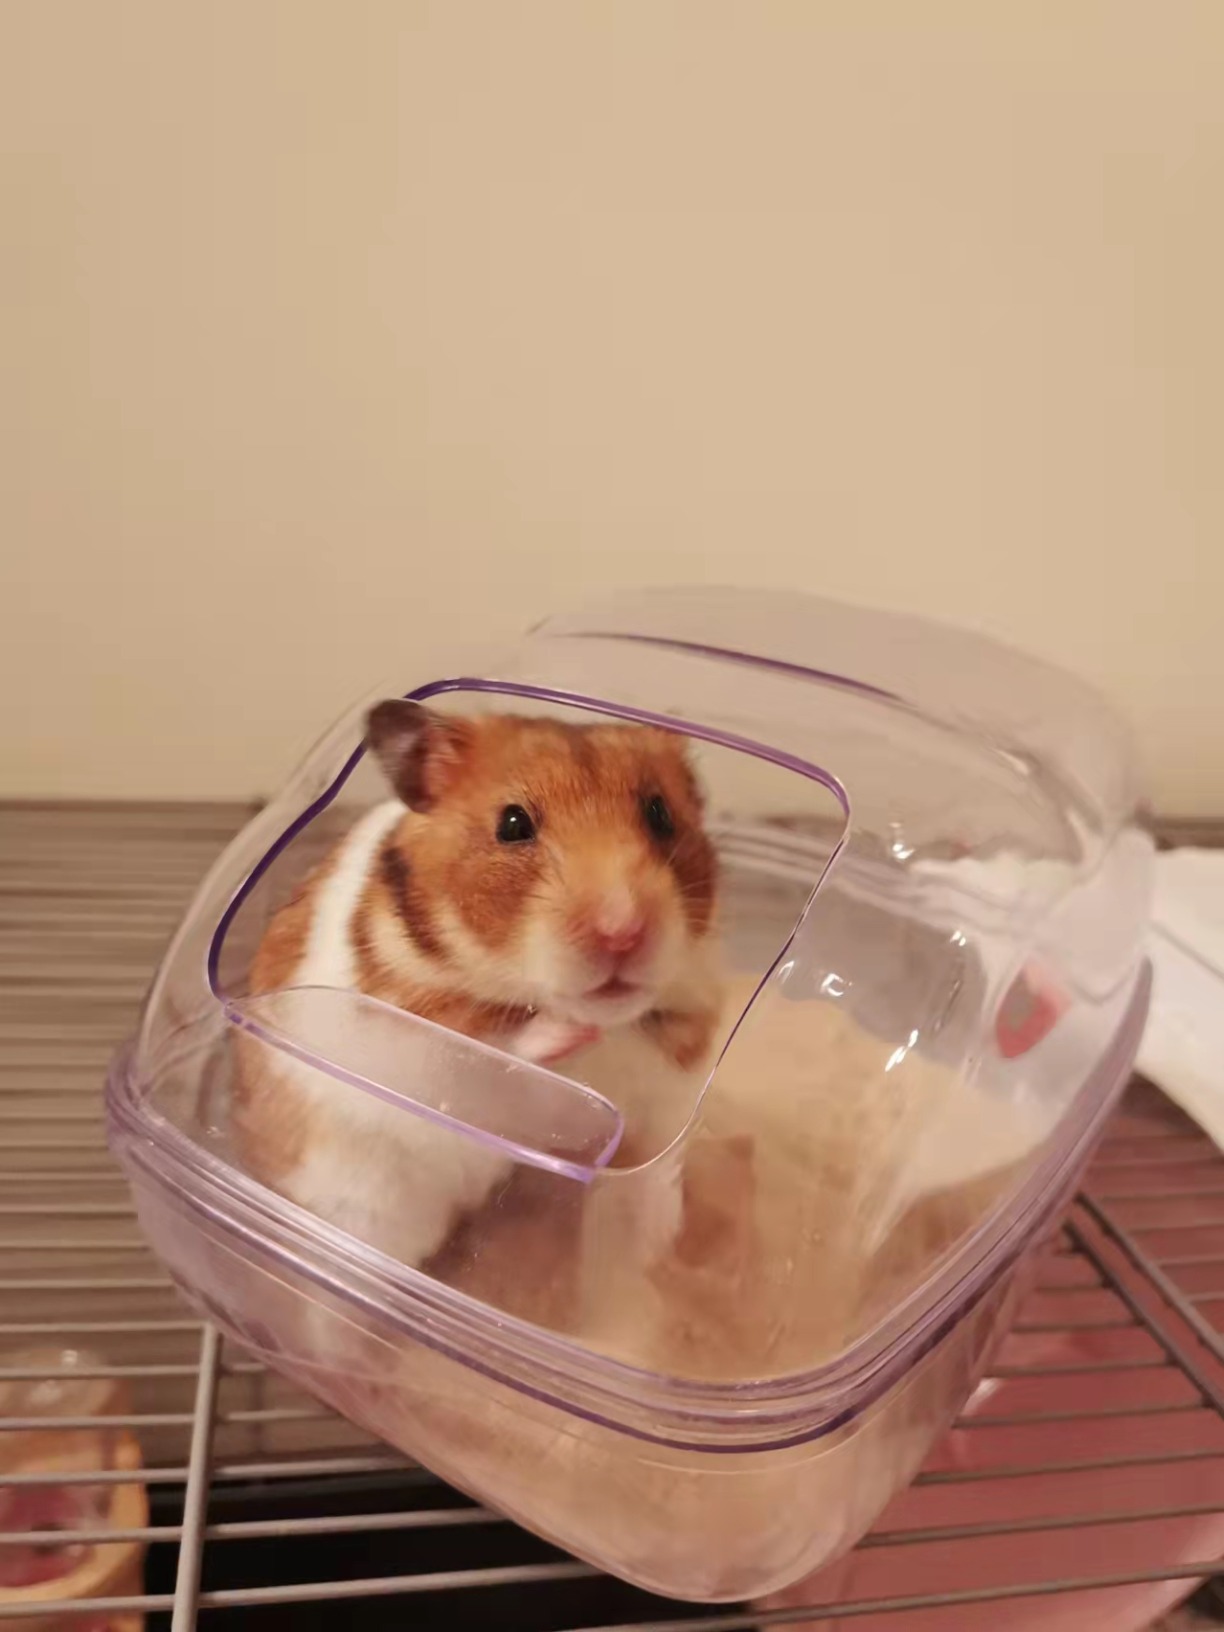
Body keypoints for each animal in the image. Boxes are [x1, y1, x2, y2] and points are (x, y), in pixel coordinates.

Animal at [233, 701, 723, 1269]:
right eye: (512, 824)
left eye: (660, 814)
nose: (622, 931)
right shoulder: (422, 1050)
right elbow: (505, 1051)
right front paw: (571, 1031)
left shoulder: (673, 1079)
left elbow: (657, 1163)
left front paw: (659, 1246)